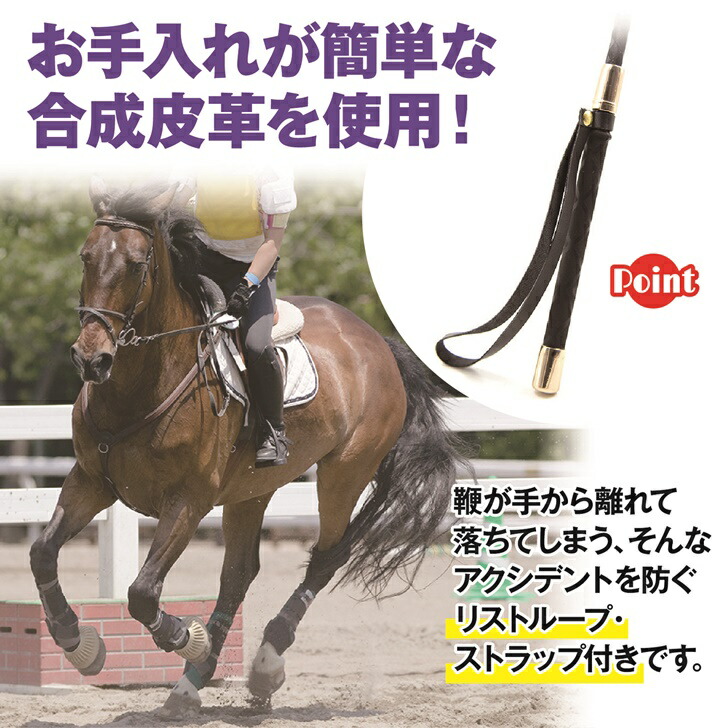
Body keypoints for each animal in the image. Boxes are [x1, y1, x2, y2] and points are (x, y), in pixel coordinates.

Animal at [28, 181, 464, 715]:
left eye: (135, 264)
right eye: (86, 257)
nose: (92, 359)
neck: (141, 385)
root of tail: (376, 341)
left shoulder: (188, 501)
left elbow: (142, 592)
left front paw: (187, 638)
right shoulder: (93, 481)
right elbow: (43, 552)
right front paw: (77, 642)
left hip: (345, 471)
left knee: (327, 555)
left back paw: (262, 665)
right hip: (251, 490)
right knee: (239, 573)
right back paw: (189, 687)